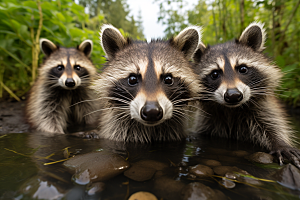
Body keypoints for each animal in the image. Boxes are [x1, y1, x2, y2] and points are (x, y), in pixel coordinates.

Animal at [193, 21, 298, 166]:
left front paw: (280, 143)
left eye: (242, 69)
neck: (231, 110)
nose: (233, 95)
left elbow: (273, 125)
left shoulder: (264, 109)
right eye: (214, 74)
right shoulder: (206, 121)